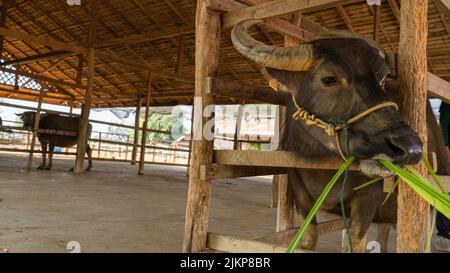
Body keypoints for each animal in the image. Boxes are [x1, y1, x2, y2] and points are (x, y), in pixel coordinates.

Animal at [230, 20, 442, 252]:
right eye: (329, 79)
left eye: (382, 80)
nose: (411, 148)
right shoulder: (298, 188)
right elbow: (309, 237)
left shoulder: (368, 197)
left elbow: (356, 243)